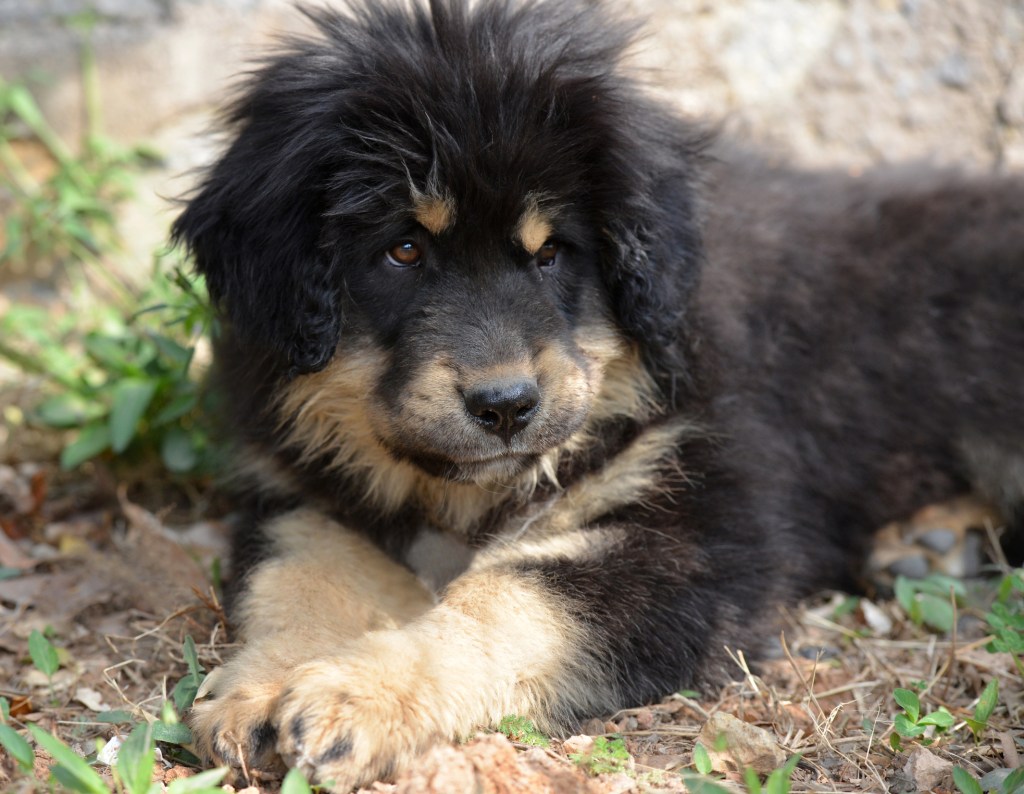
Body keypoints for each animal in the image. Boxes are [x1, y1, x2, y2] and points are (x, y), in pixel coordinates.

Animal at [174, 0, 1024, 786]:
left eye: (551, 252)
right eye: (403, 249)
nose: (506, 406)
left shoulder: (697, 532)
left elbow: (513, 601)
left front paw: (358, 696)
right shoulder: (302, 493)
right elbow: (300, 577)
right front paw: (260, 691)